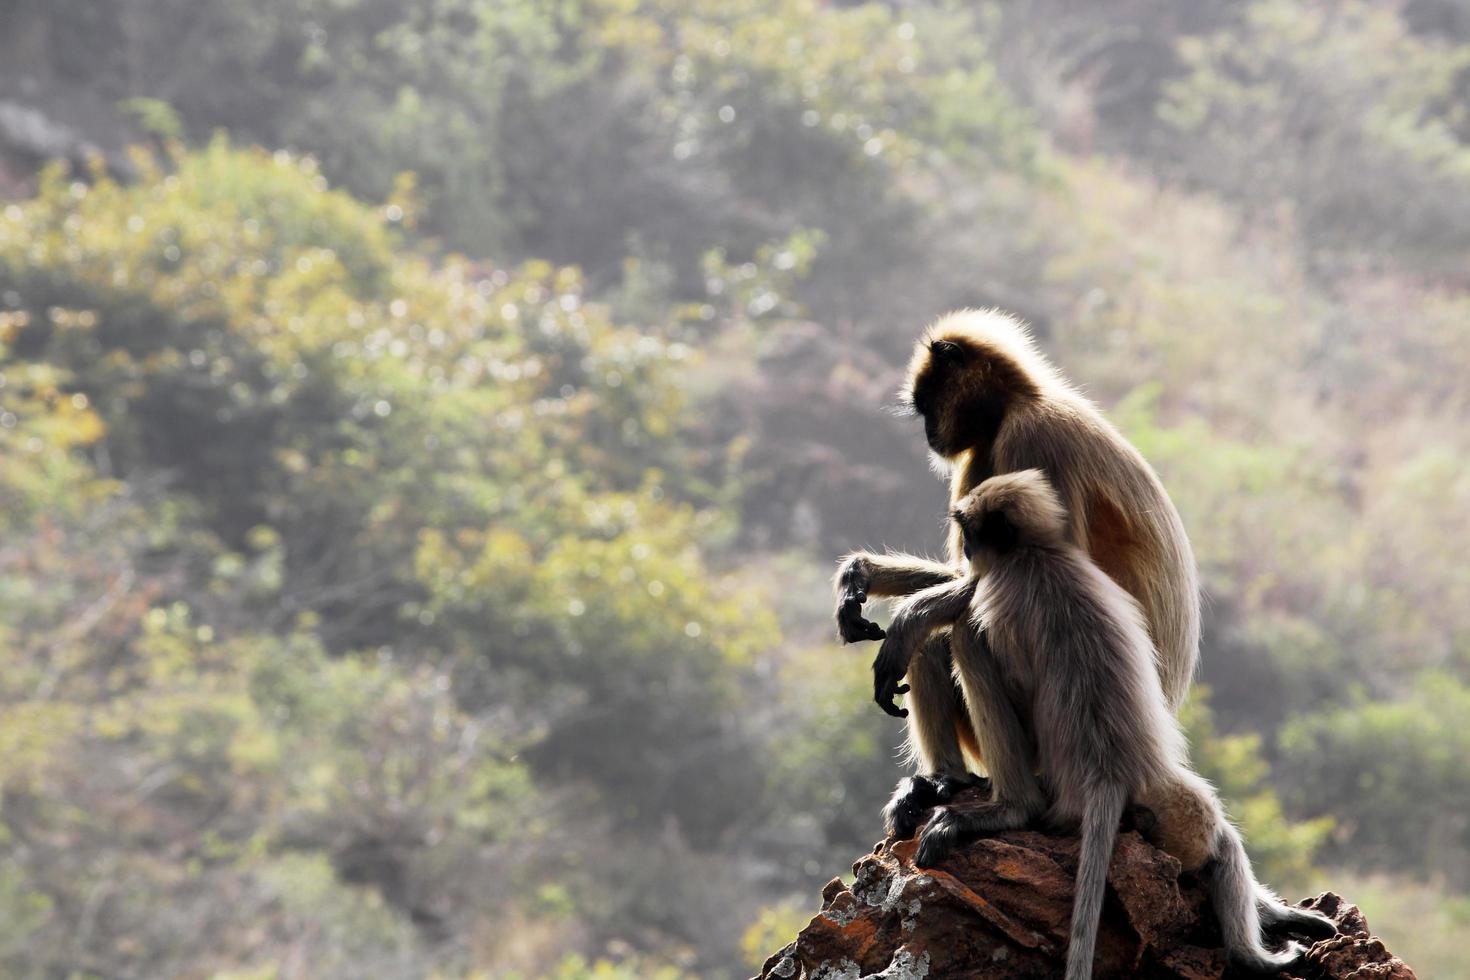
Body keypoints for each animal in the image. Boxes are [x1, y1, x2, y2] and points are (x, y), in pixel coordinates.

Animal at [834, 310, 1199, 840]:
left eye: (927, 405)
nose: (928, 433)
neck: (1021, 401)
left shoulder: (1032, 436)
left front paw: (909, 612)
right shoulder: (979, 453)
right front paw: (862, 575)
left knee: (958, 630)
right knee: (938, 637)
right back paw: (944, 780)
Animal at [876, 470, 1340, 975]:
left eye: (970, 529)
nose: (966, 545)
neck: (1038, 554)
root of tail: (1110, 771)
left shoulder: (1002, 586)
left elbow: (968, 615)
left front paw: (914, 610)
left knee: (962, 636)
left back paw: (1009, 805)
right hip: (1178, 808)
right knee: (1220, 844)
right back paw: (1258, 939)